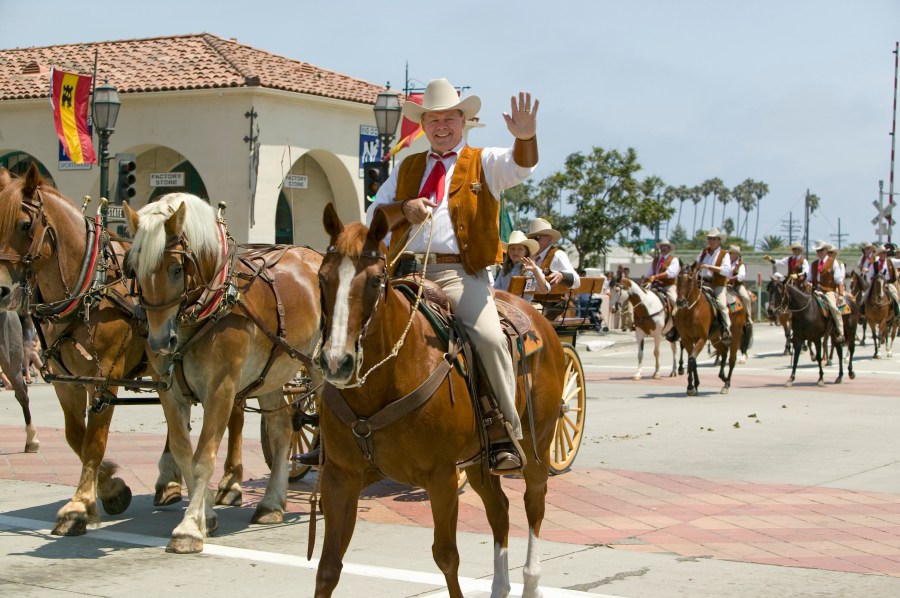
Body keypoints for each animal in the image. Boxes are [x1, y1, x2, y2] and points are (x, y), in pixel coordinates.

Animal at [0, 165, 250, 540]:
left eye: (25, 225)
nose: (0, 290)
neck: (89, 284)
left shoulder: (105, 376)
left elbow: (94, 440)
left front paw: (80, 506)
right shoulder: (66, 380)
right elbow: (76, 437)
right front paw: (111, 488)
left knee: (235, 413)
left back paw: (231, 482)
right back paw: (169, 481)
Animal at [123, 195, 324, 556]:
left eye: (177, 268)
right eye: (135, 270)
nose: (159, 342)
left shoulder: (221, 389)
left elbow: (204, 457)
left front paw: (189, 528)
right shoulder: (169, 391)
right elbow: (183, 452)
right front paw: (207, 515)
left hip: (319, 368)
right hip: (273, 373)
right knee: (282, 429)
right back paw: (271, 504)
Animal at [316, 205, 568, 598]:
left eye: (375, 280)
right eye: (321, 277)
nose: (335, 362)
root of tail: (539, 318)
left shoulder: (442, 478)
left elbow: (447, 557)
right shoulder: (339, 478)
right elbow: (328, 568)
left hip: (535, 444)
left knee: (534, 503)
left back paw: (530, 582)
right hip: (481, 459)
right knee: (499, 509)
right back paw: (500, 586)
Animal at [672, 264, 748, 396]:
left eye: (690, 279)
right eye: (678, 278)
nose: (680, 302)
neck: (691, 311)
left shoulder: (701, 339)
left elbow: (691, 360)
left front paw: (691, 386)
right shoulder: (687, 339)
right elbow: (692, 360)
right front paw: (694, 385)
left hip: (736, 334)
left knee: (731, 359)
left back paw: (726, 384)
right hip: (714, 338)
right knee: (723, 352)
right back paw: (722, 376)